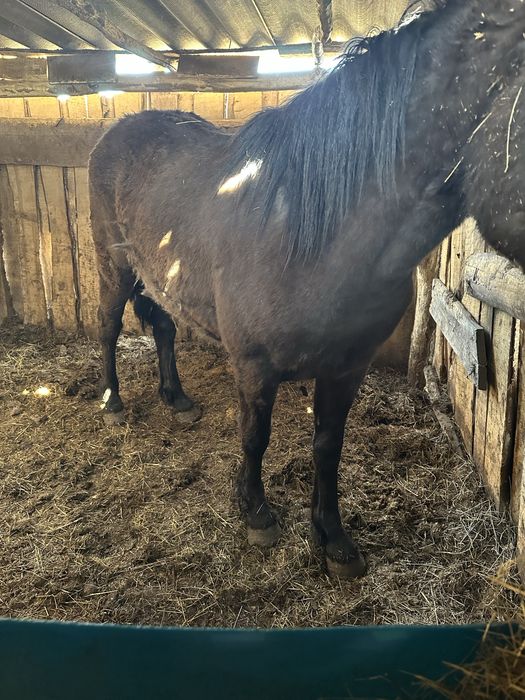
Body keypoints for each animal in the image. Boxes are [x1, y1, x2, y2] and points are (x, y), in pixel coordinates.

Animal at [88, 0, 525, 578]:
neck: (312, 233)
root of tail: (119, 130)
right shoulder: (254, 365)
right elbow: (255, 437)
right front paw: (255, 513)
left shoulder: (348, 367)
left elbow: (327, 446)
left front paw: (332, 538)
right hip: (114, 268)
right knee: (109, 325)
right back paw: (113, 402)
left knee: (161, 325)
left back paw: (177, 398)